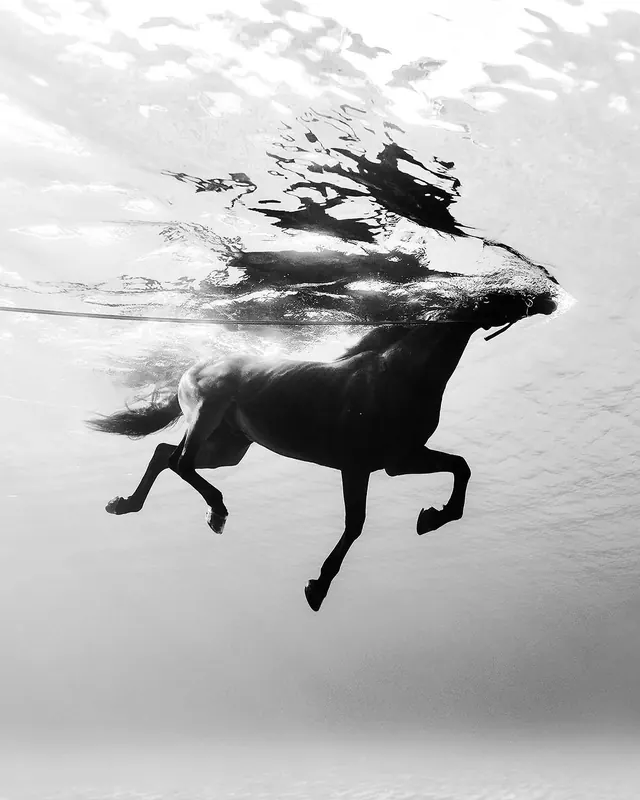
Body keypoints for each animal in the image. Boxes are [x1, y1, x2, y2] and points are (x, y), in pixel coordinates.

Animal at [87, 287, 559, 612]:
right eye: (504, 296)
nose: (549, 300)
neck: (398, 377)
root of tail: (196, 365)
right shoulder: (359, 466)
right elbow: (355, 526)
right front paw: (318, 587)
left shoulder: (398, 460)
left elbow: (461, 467)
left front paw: (431, 518)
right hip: (207, 417)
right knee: (180, 460)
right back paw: (216, 512)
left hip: (230, 446)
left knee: (164, 453)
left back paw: (127, 504)